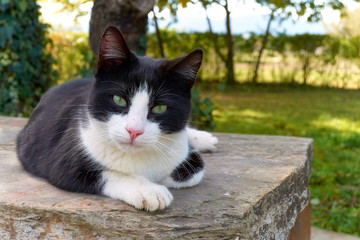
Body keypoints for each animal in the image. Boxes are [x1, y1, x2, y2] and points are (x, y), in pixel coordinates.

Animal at [16, 25, 218, 211]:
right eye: (118, 99)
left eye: (160, 108)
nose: (134, 131)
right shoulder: (63, 160)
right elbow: (108, 173)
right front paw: (149, 190)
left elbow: (192, 170)